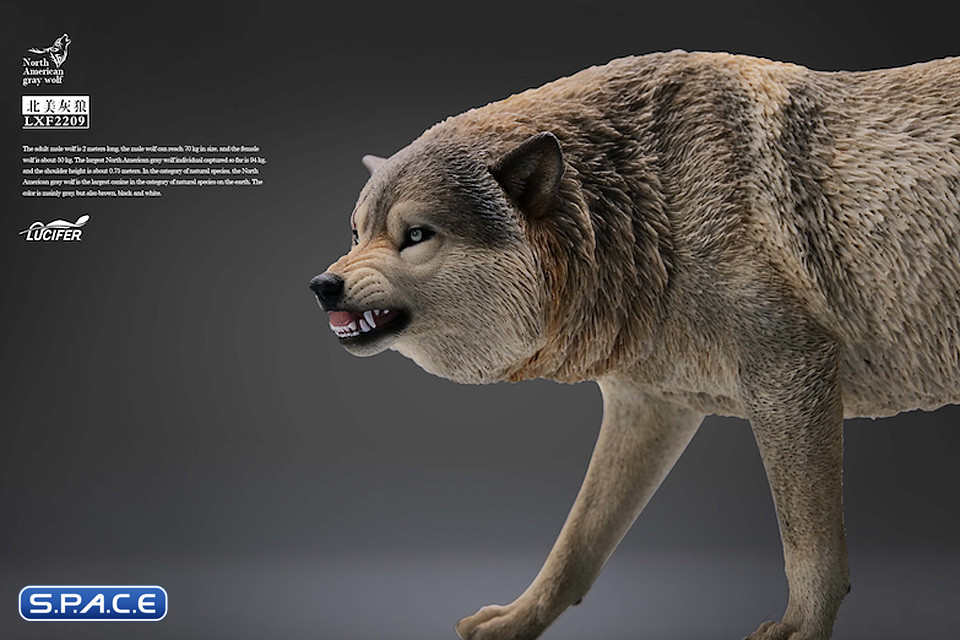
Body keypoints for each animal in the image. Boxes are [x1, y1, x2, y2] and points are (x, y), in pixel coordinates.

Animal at [310, 51, 960, 640]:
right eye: (357, 232)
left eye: (415, 235)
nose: (322, 285)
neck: (651, 203)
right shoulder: (649, 406)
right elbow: (576, 543)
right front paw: (518, 620)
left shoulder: (791, 372)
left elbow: (809, 541)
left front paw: (801, 628)